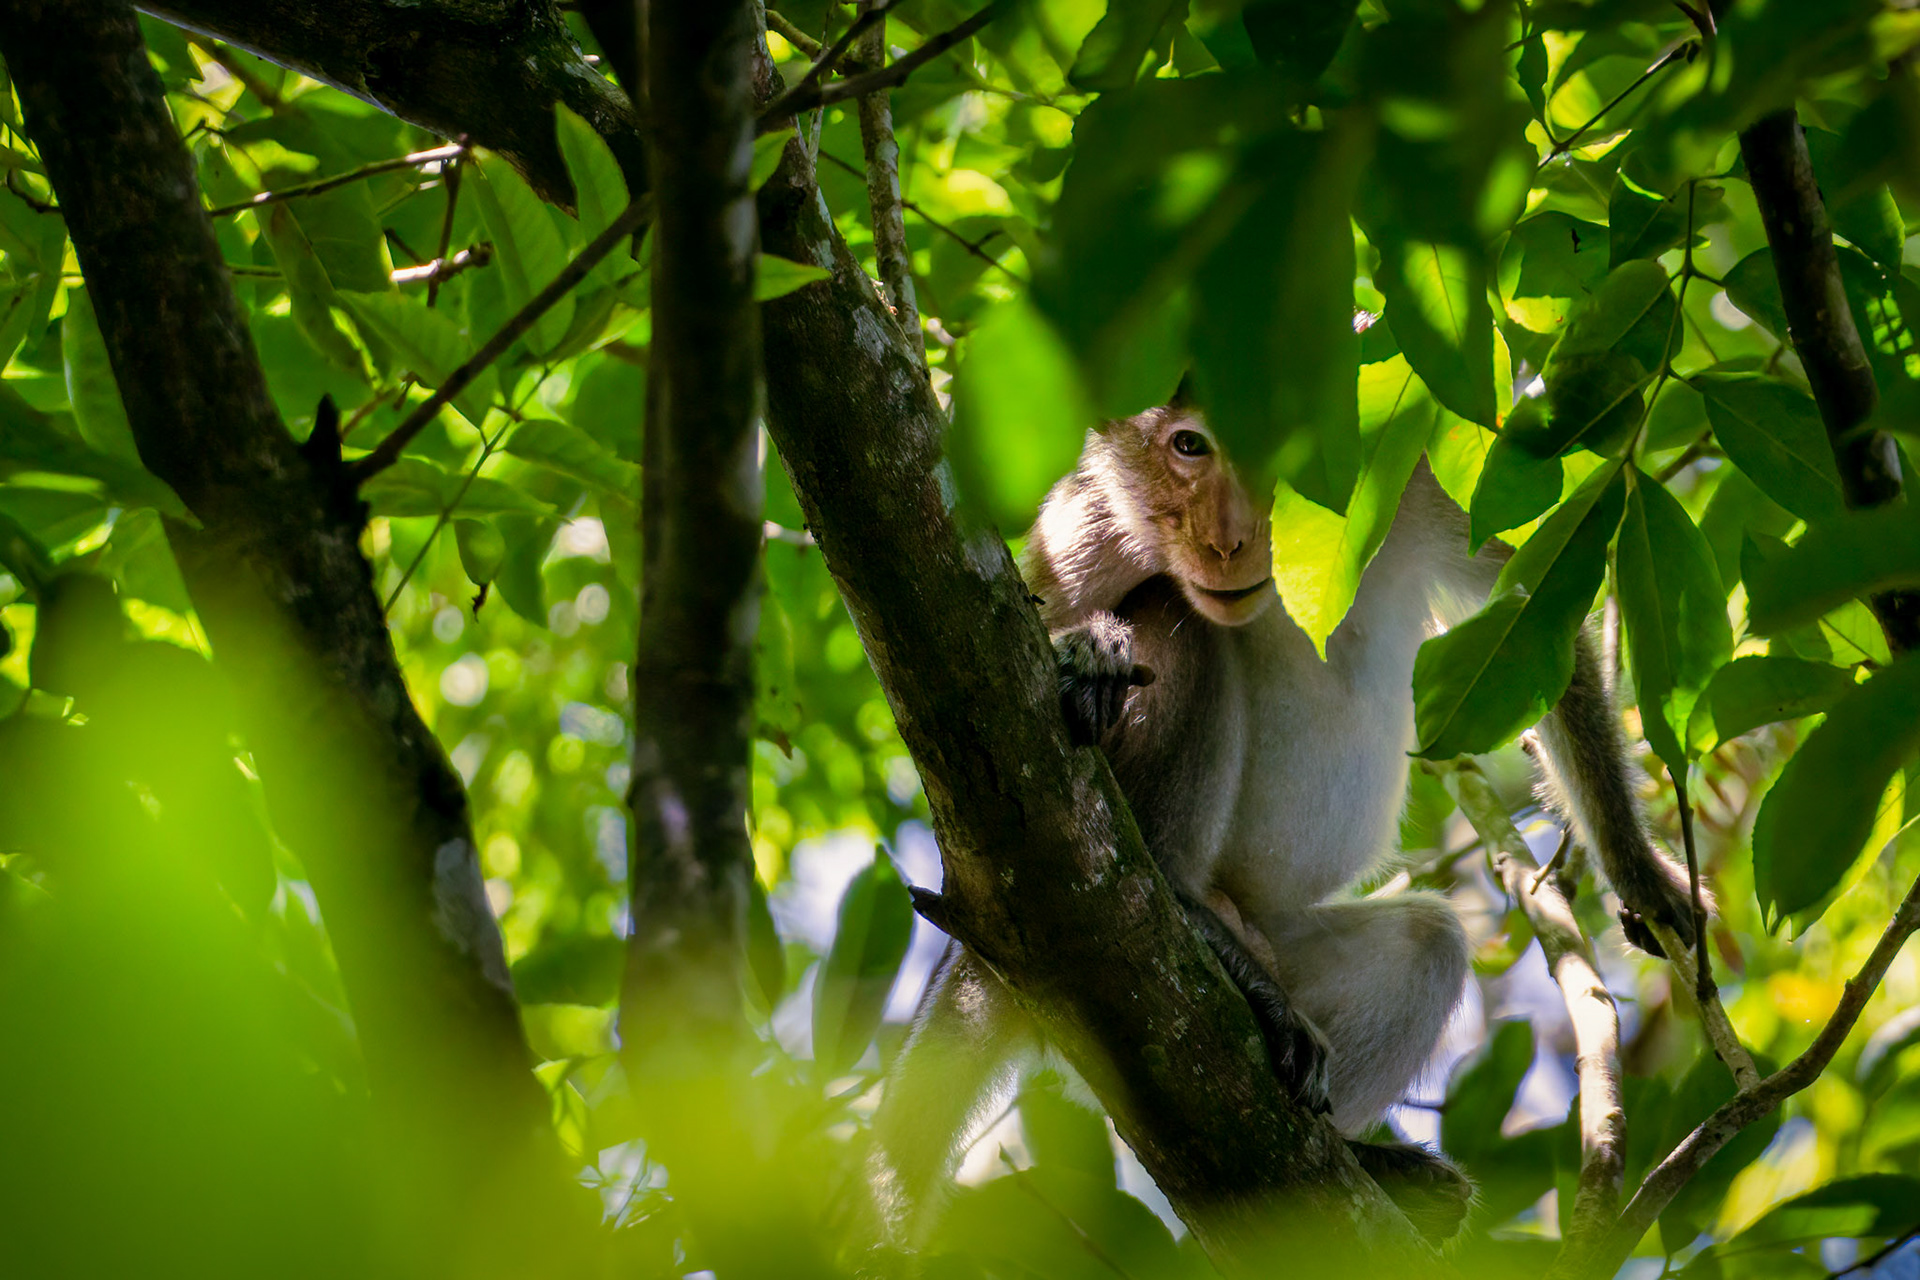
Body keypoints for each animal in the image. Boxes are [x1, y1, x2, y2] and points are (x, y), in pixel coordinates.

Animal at [857, 402, 1708, 1254]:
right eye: (1188, 447)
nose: (1228, 538)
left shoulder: (1418, 480)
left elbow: (1536, 614)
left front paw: (1639, 872)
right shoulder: (1097, 511)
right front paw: (1091, 647)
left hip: (1282, 942)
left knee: (1426, 943)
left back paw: (1364, 1161)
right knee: (1174, 618)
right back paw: (1191, 915)